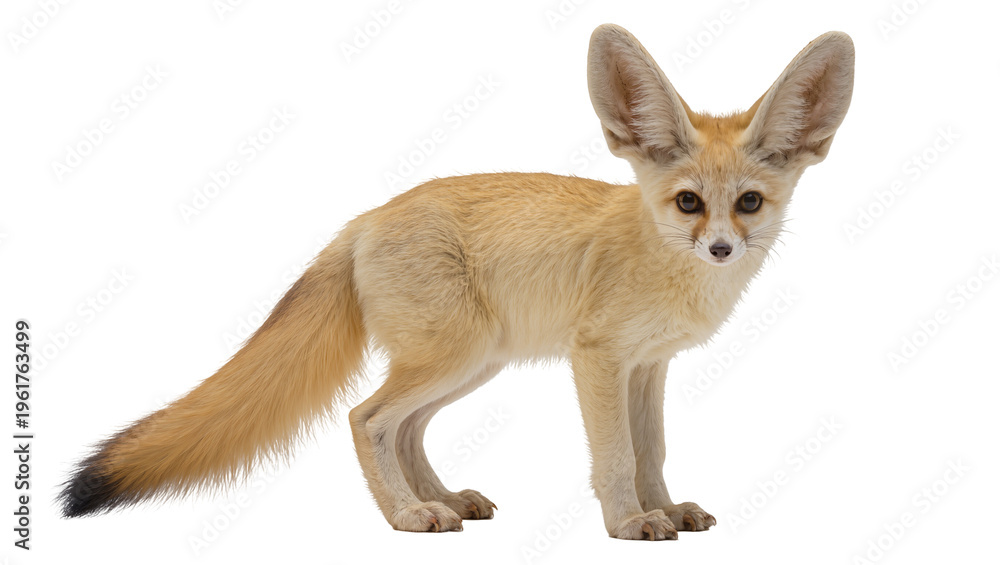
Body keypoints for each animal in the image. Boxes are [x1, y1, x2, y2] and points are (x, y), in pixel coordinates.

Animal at [59, 24, 854, 540]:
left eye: (747, 203)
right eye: (689, 202)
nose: (720, 248)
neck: (662, 263)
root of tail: (364, 218)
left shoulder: (647, 365)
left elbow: (652, 451)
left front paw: (666, 509)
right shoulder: (598, 359)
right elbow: (618, 457)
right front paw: (629, 522)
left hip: (473, 364)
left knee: (405, 429)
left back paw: (442, 500)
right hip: (454, 357)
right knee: (367, 419)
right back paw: (407, 515)